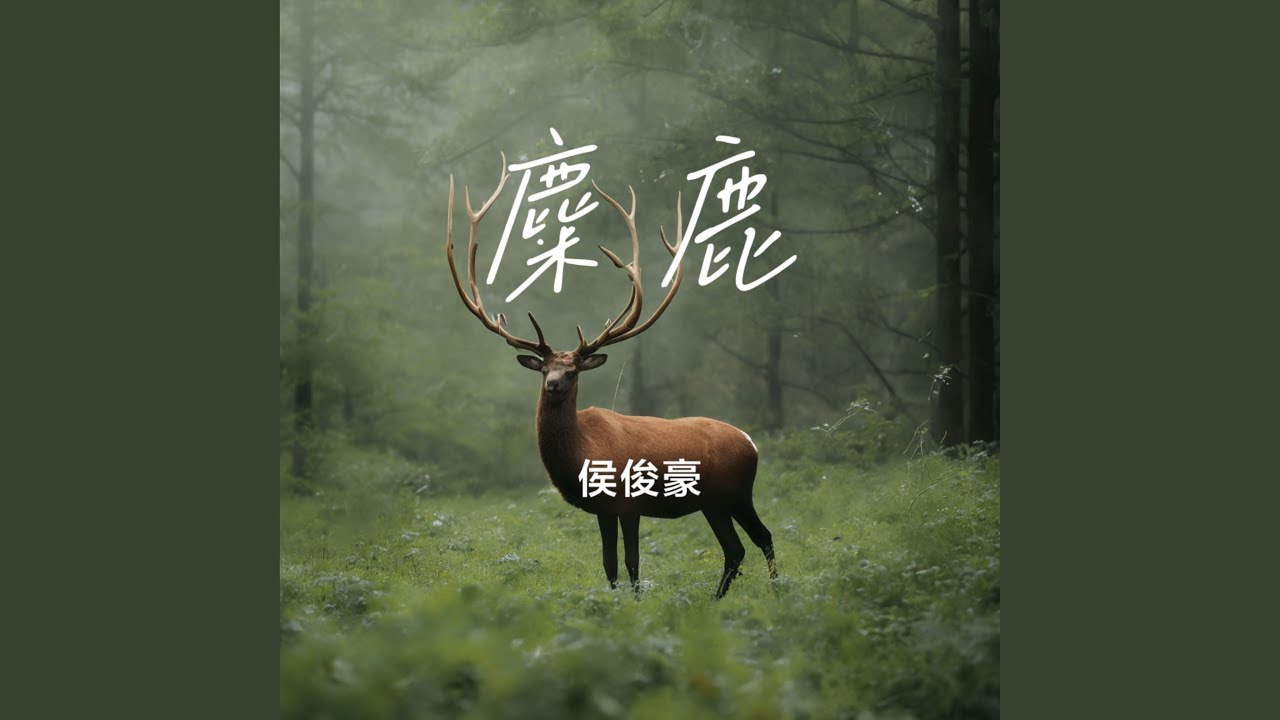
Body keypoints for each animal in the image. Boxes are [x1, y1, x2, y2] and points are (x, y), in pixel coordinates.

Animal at [445, 155, 777, 599]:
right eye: (545, 368)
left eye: (571, 371)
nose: (552, 384)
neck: (583, 453)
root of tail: (751, 441)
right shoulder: (602, 509)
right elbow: (609, 566)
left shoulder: (627, 502)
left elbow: (633, 563)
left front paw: (636, 605)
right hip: (714, 502)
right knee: (737, 548)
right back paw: (718, 599)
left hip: (736, 492)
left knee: (762, 537)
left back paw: (776, 591)